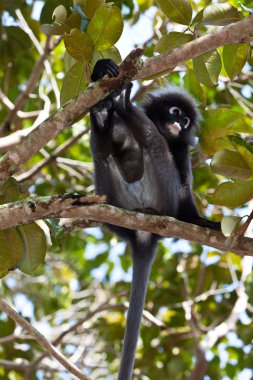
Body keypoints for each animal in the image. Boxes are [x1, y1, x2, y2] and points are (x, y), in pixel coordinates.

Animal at [89, 59, 219, 380]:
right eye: (175, 112)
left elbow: (185, 190)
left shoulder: (181, 155)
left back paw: (124, 106)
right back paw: (103, 115)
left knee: (155, 144)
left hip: (163, 196)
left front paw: (201, 221)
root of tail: (145, 232)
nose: (179, 123)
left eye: (186, 121)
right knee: (104, 153)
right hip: (112, 196)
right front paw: (101, 72)